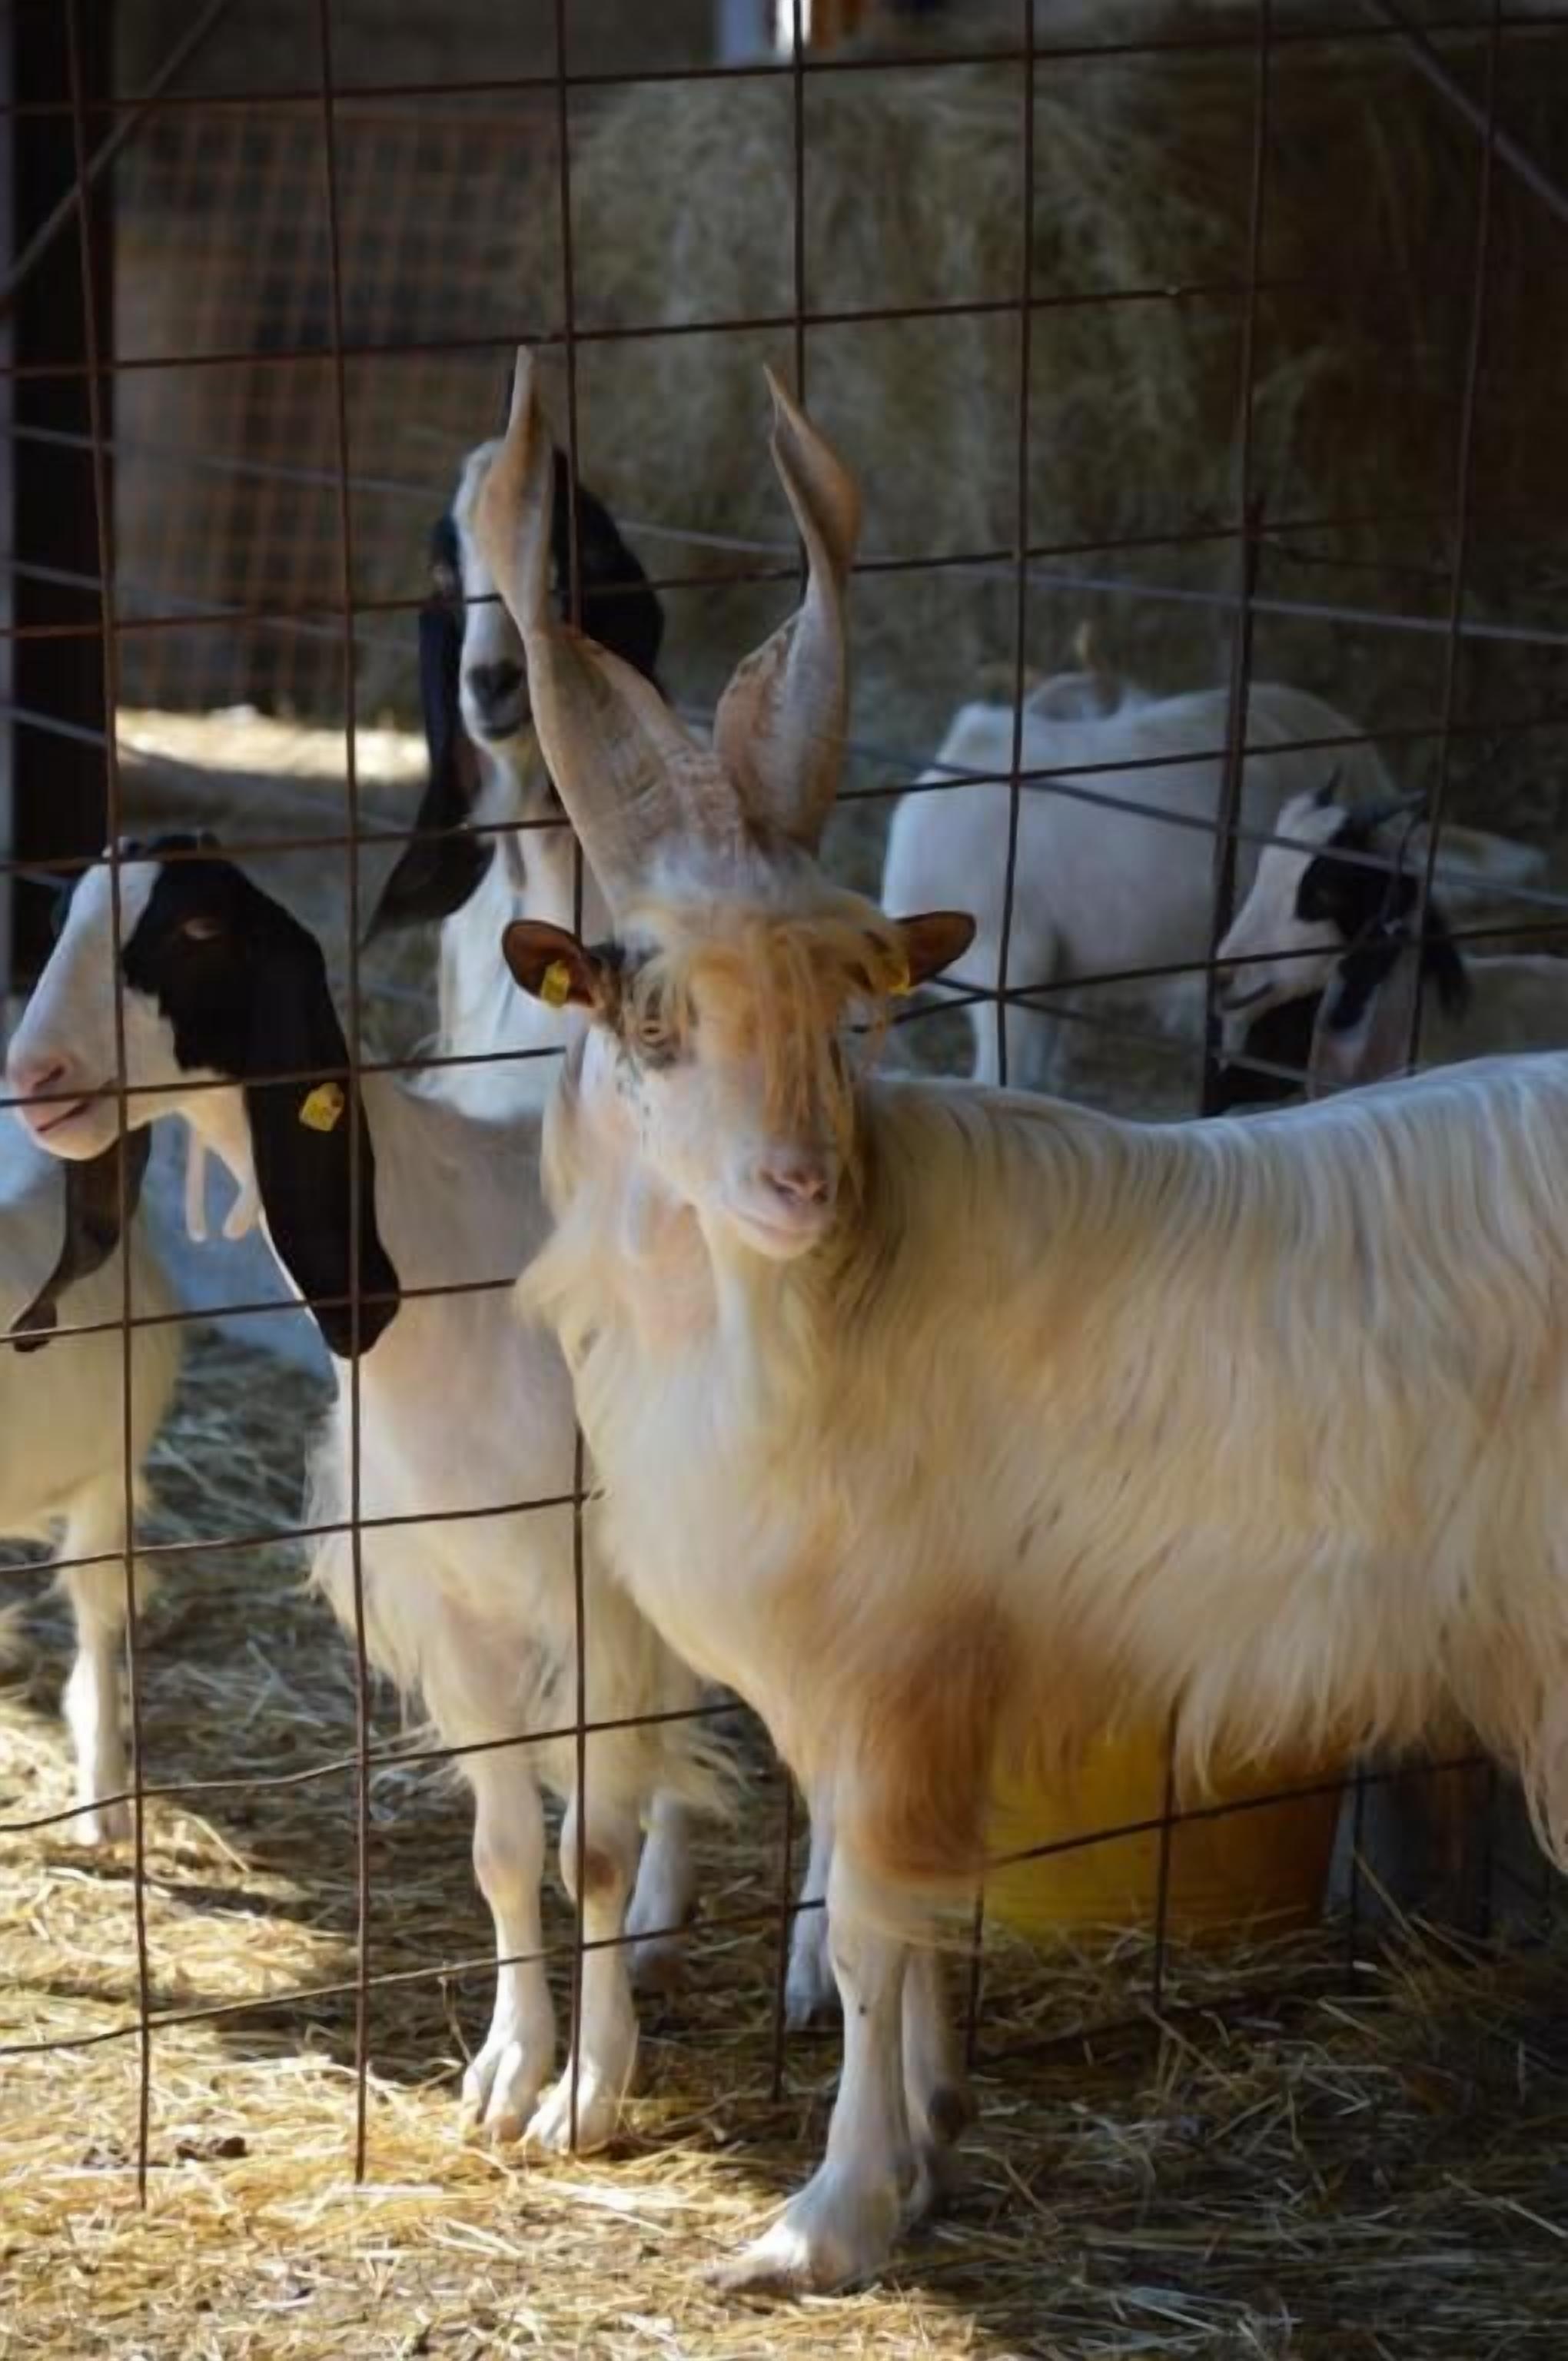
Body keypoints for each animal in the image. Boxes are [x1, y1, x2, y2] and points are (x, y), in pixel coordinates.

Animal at [8, 844, 717, 2151]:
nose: (36, 1080)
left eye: (197, 930)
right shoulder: (451, 1602)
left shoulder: (588, 1599)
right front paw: (507, 2073)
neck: (443, 1283)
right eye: (67, 914)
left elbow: (587, 1850)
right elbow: (504, 1853)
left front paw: (587, 2096)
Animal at [477, 348, 1568, 2292]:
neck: (811, 1301)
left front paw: (823, 2219)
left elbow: (868, 1932)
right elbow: (915, 1932)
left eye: (850, 1014)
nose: (797, 1183)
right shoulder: (915, 1683)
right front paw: (925, 2143)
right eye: (651, 1019)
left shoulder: (897, 1668)